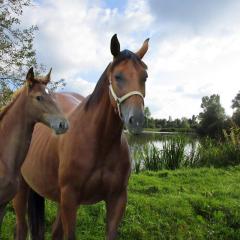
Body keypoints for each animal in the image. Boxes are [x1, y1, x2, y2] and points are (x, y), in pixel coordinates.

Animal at [13, 34, 149, 240]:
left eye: (145, 77)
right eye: (117, 76)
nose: (137, 120)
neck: (99, 143)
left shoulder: (117, 199)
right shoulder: (70, 198)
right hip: (22, 189)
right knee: (21, 227)